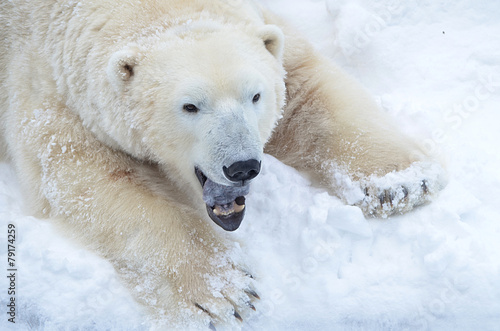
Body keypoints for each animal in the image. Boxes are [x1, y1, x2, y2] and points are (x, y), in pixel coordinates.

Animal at [0, 0, 446, 330]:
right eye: (190, 106)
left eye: (256, 95)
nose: (243, 166)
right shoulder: (49, 85)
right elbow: (85, 176)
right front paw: (223, 293)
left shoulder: (267, 35)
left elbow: (306, 91)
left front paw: (401, 182)